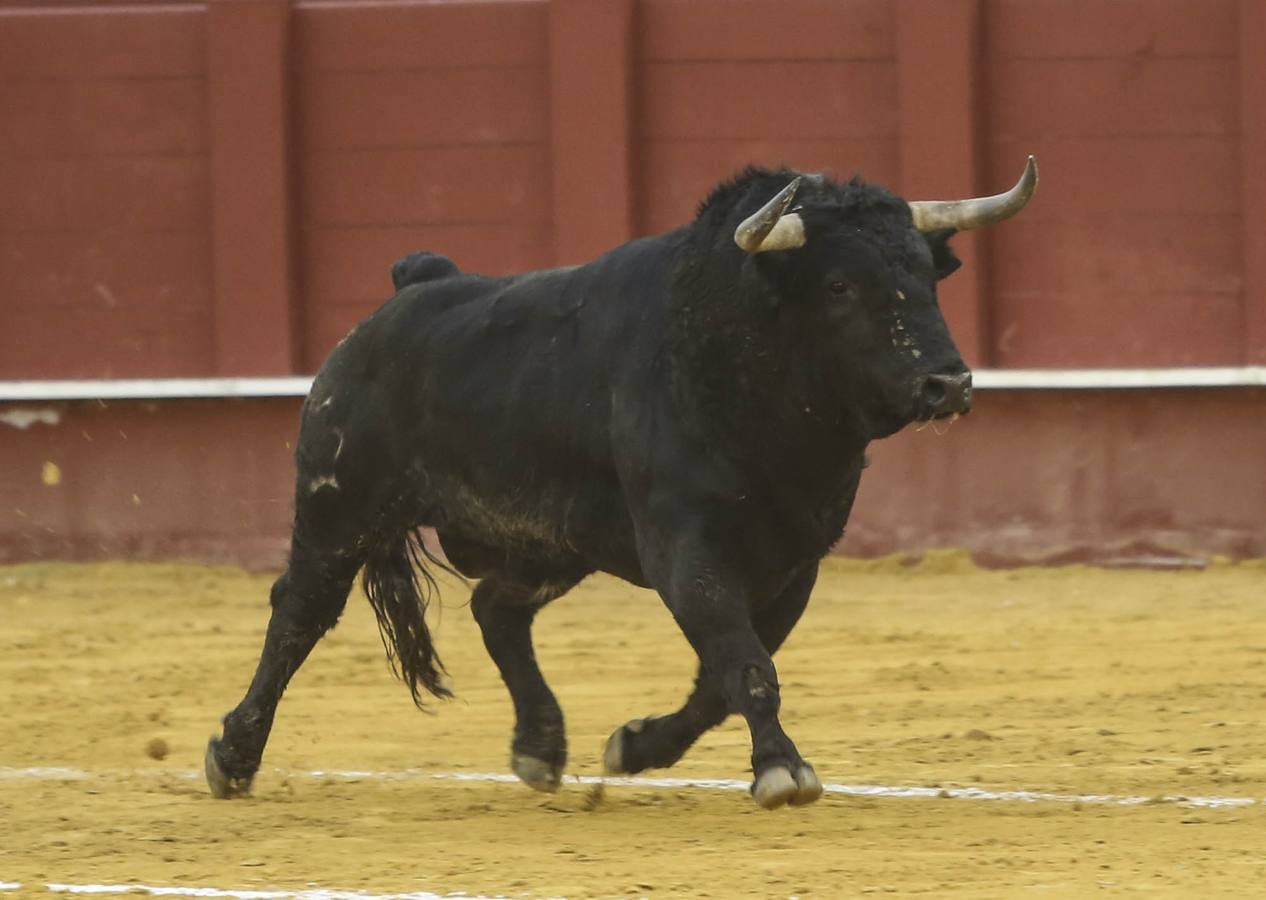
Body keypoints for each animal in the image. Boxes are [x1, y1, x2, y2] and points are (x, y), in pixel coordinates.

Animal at [210, 158, 1038, 815]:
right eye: (839, 286)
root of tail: (413, 285)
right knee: (299, 615)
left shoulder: (795, 562)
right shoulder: (686, 549)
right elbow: (746, 663)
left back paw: (541, 746)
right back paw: (233, 757)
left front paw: (637, 746)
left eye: (926, 276)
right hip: (336, 509)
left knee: (496, 609)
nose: (948, 383)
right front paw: (782, 770)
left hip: (549, 543)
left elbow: (723, 675)